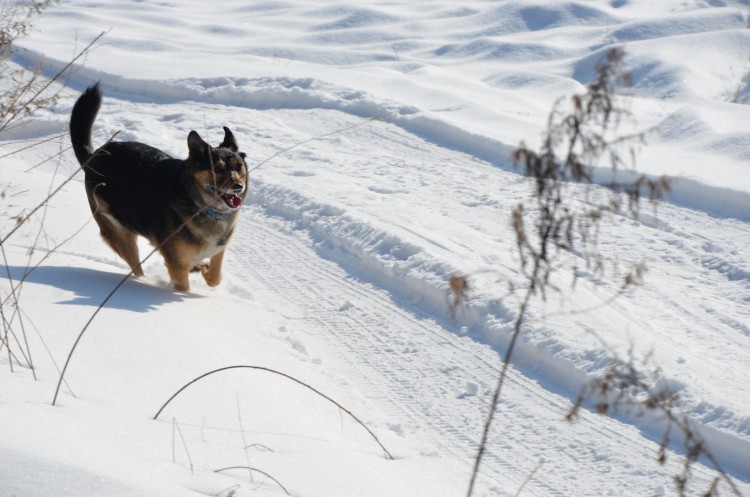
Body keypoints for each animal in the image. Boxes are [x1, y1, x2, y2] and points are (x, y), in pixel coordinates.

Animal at [69, 82, 250, 290]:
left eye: (239, 167)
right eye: (218, 169)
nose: (238, 186)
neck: (204, 208)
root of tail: (93, 157)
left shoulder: (218, 249)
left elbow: (214, 277)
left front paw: (203, 269)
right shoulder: (177, 264)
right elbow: (184, 285)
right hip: (119, 233)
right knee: (136, 267)